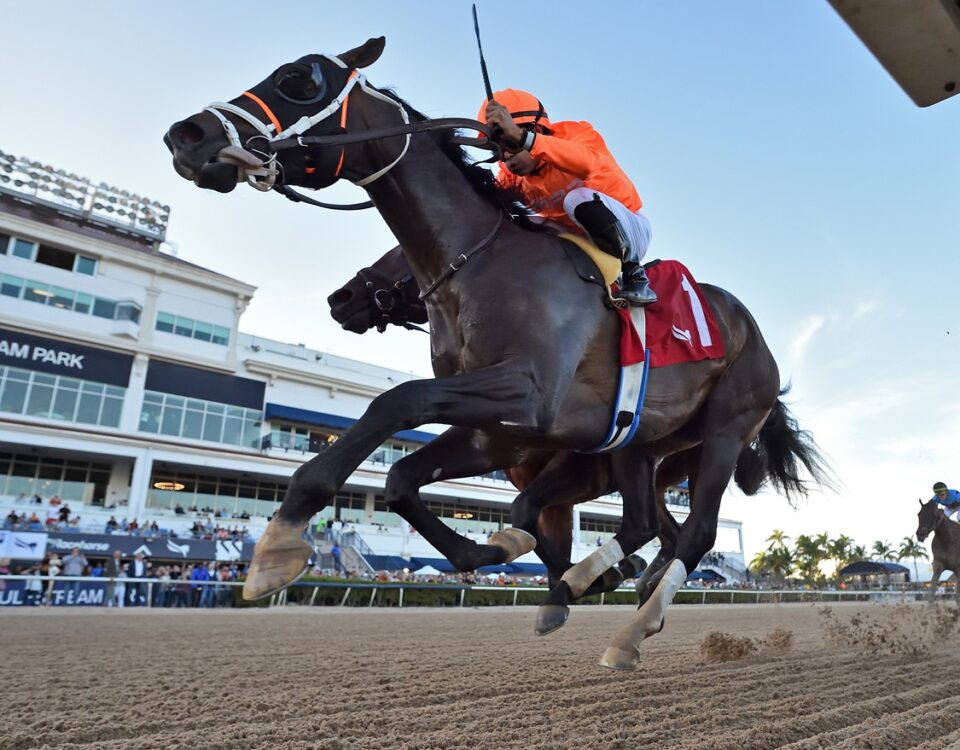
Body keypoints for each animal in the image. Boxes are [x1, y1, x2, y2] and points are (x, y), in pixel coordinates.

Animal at [163, 38, 824, 668]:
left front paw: (280, 539)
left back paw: (631, 631)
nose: (187, 136)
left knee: (697, 533)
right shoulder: (497, 431)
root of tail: (754, 333)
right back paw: (608, 588)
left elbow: (396, 403)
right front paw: (500, 549)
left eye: (300, 79)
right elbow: (404, 479)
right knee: (646, 521)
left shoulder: (532, 399)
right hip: (641, 443)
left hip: (724, 431)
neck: (482, 264)